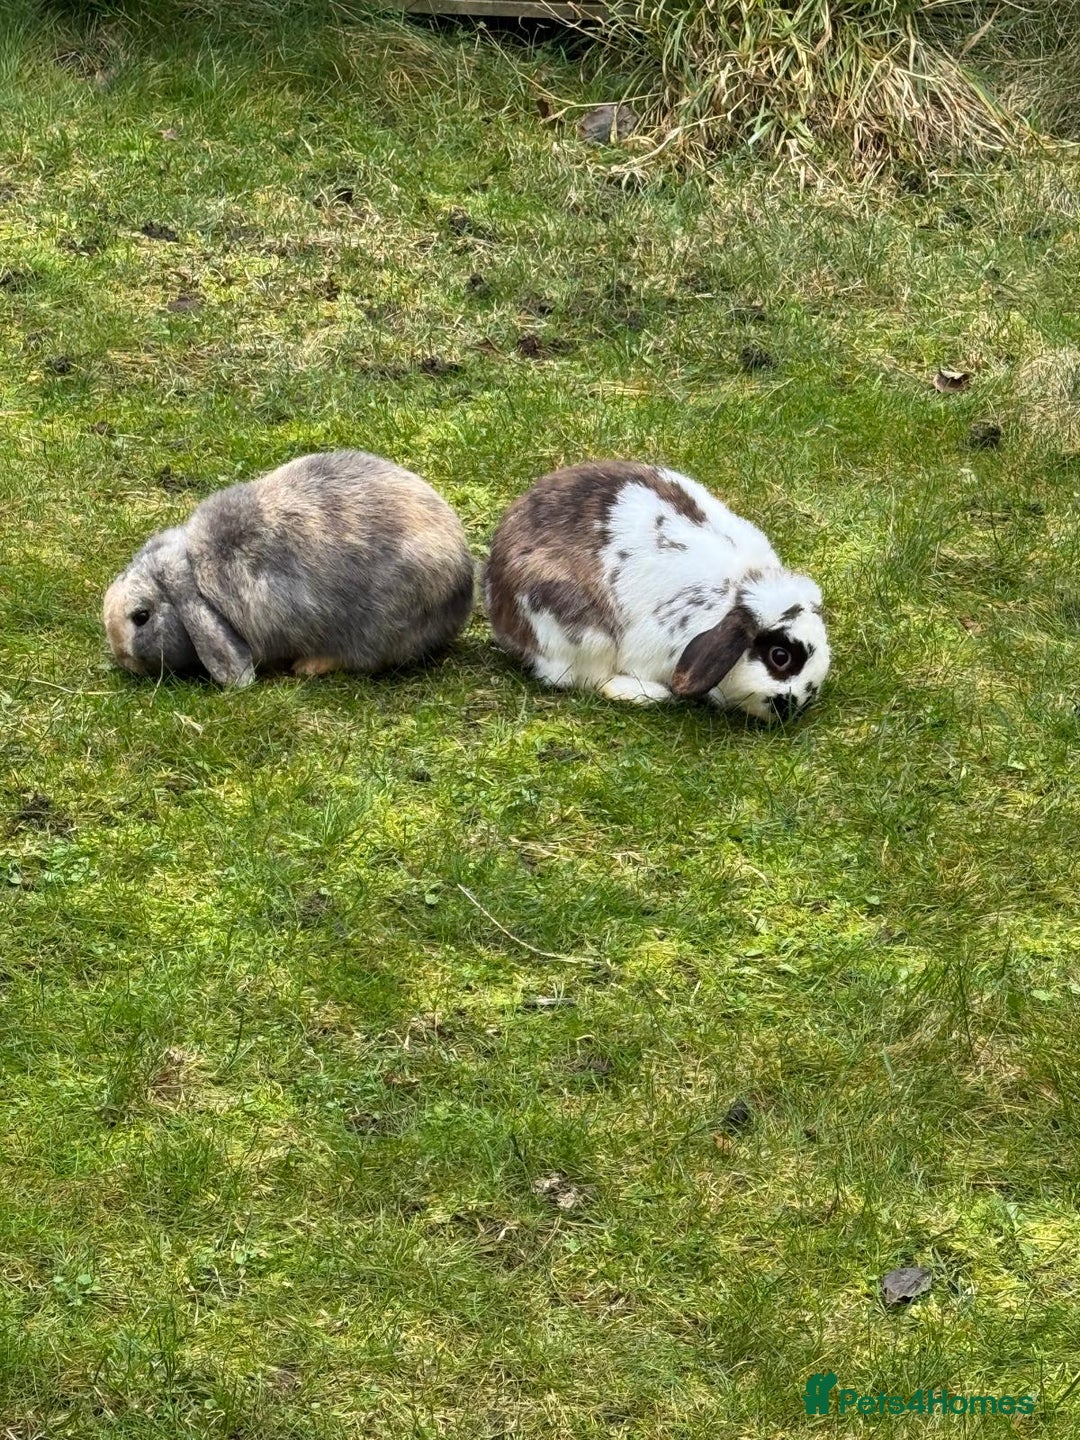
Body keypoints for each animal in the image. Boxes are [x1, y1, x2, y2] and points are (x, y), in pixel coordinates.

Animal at [484, 460, 830, 722]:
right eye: (780, 656)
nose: (793, 707)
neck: (737, 590)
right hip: (580, 633)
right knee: (586, 678)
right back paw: (648, 693)